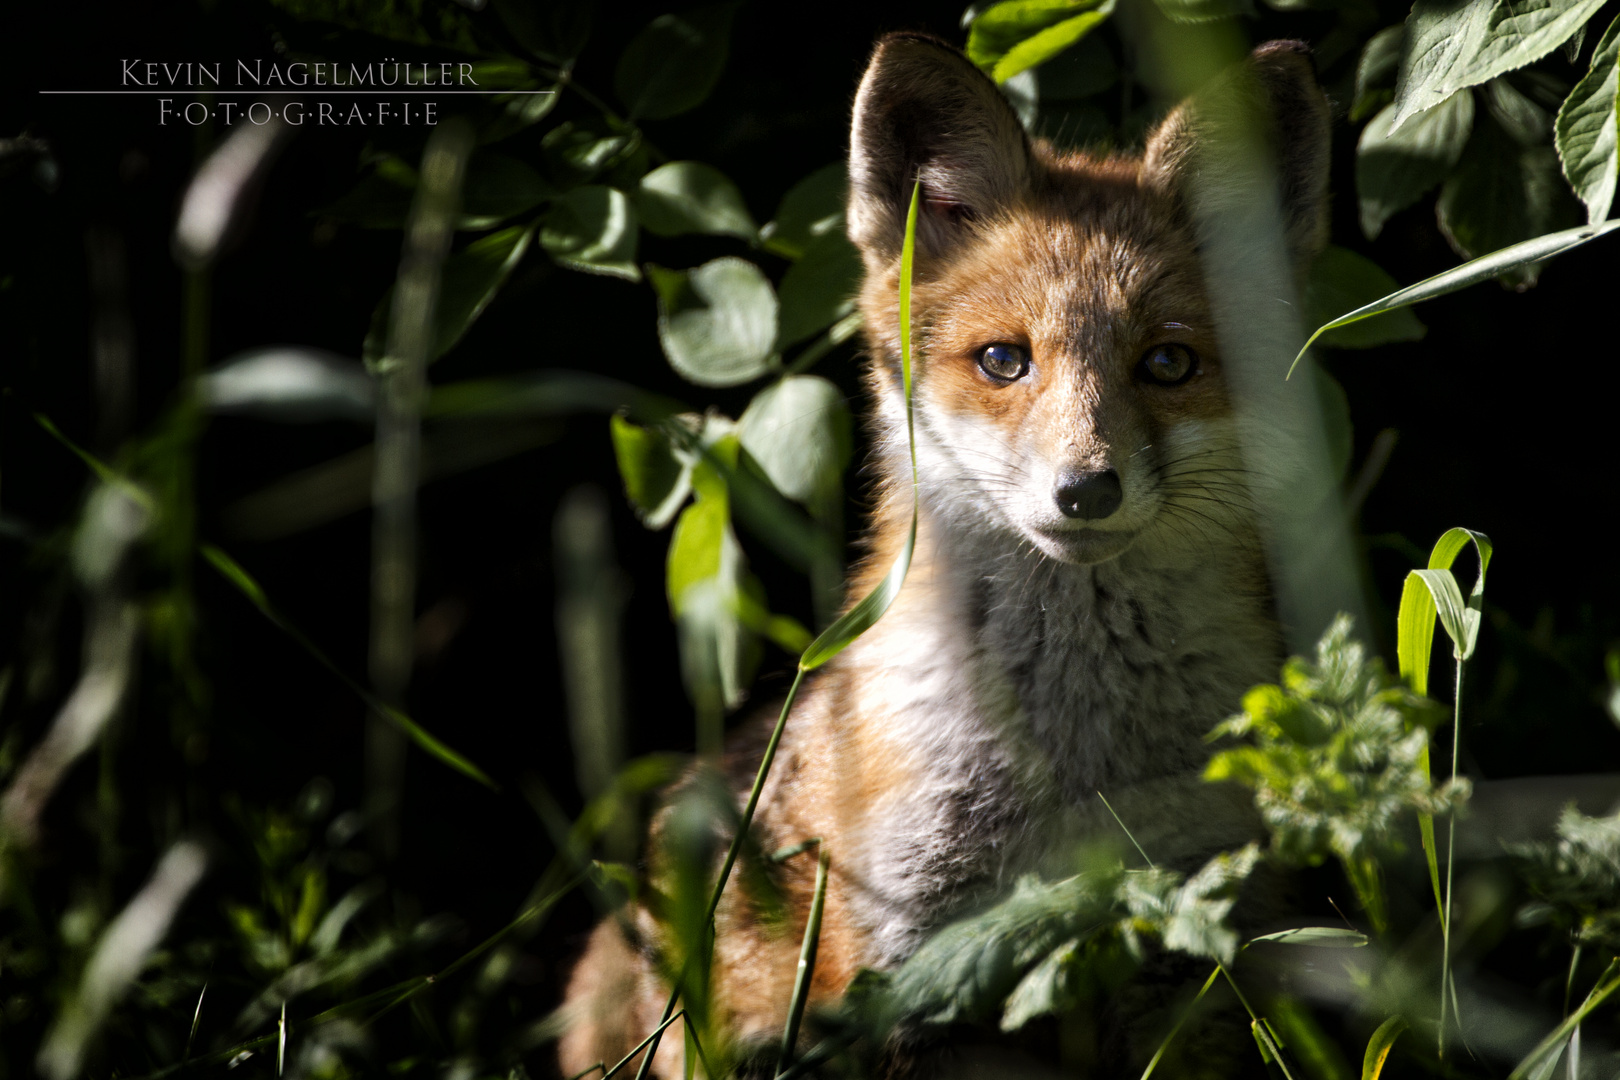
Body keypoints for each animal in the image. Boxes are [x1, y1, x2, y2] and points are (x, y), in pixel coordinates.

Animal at [557, 29, 1328, 1075]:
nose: (1085, 490)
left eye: (1169, 364)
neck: (1072, 773)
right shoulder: (899, 971)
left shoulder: (1199, 953)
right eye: (1004, 361)